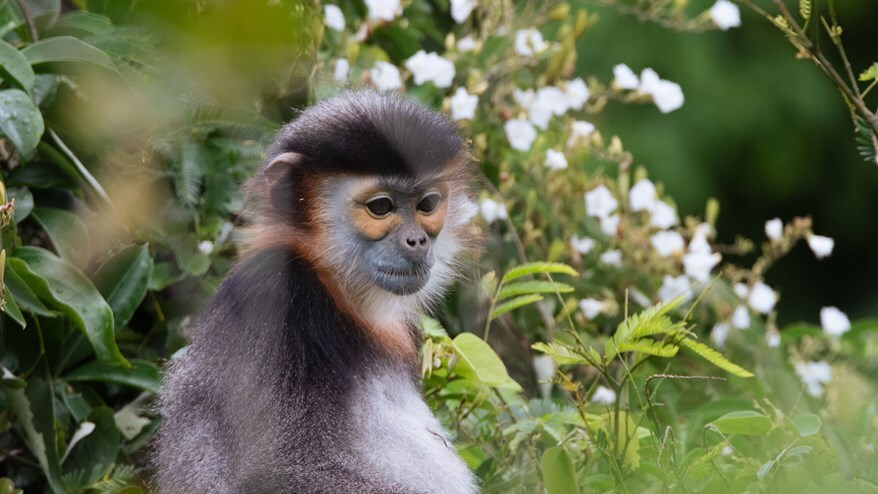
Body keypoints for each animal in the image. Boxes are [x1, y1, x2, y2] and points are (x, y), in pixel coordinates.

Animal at [153, 91, 480, 494]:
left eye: (428, 204)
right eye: (381, 206)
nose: (417, 240)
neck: (331, 282)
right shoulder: (278, 301)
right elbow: (273, 472)